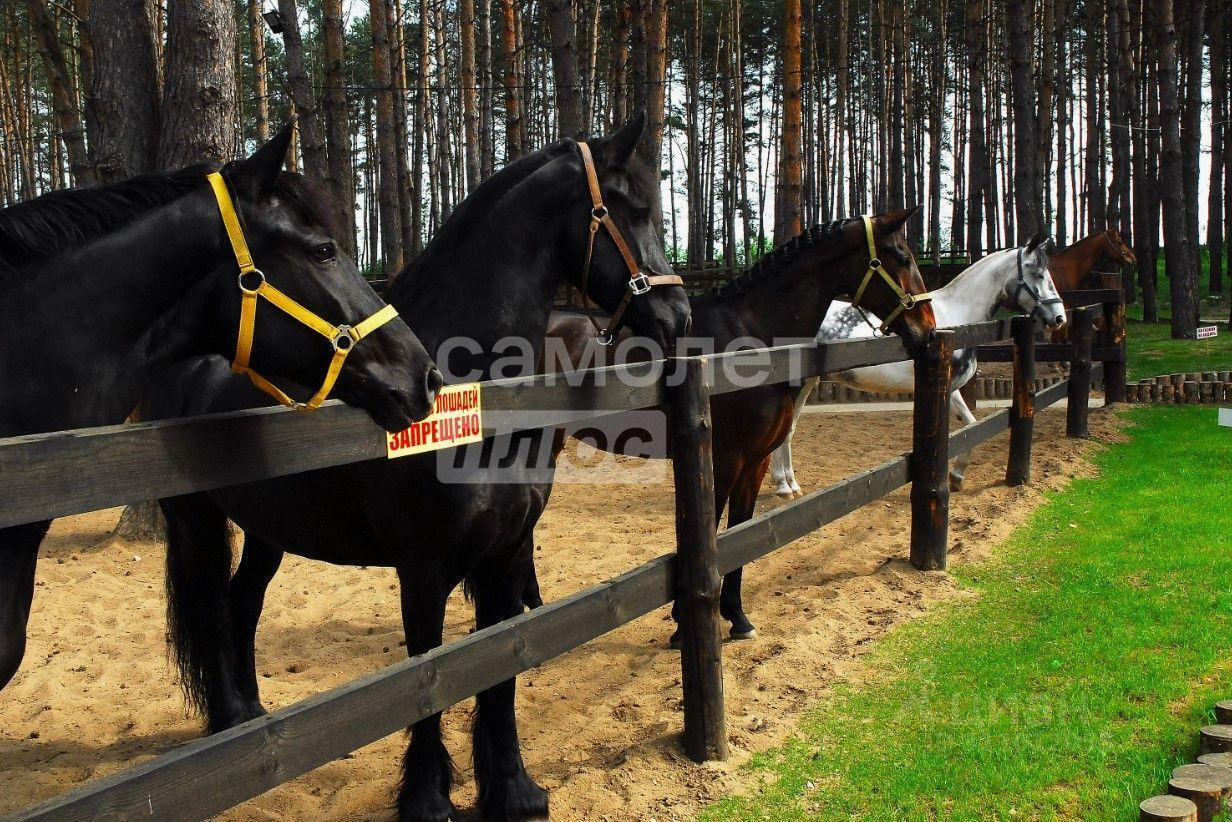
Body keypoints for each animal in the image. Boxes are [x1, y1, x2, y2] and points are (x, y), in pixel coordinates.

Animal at [144, 115, 694, 822]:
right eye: (633, 210)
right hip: (195, 521)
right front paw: (429, 798)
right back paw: (229, 724)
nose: (679, 317)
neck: (474, 393)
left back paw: (252, 720)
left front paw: (512, 789)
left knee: (242, 605)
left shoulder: (506, 557)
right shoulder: (424, 570)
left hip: (270, 530)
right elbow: (426, 681)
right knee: (212, 610)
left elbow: (498, 673)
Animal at [519, 209, 931, 645]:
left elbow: (741, 533)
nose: (927, 329)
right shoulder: (724, 459)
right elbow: (713, 533)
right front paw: (684, 625)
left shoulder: (755, 462)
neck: (750, 338)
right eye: (902, 257)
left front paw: (737, 616)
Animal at [768, 234, 1069, 497]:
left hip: (807, 383)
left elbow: (971, 425)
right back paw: (784, 486)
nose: (1058, 318)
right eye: (1038, 274)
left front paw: (957, 477)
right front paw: (953, 476)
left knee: (788, 430)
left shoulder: (954, 390)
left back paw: (787, 483)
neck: (958, 319)